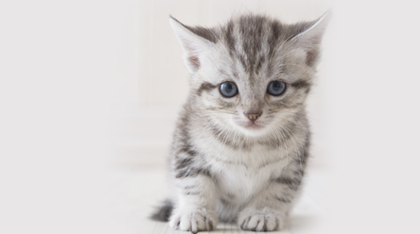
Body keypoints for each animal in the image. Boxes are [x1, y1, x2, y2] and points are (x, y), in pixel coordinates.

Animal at [151, 11, 332, 231]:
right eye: (228, 88)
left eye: (277, 87)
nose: (252, 113)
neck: (249, 144)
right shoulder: (186, 142)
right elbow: (193, 181)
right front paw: (195, 211)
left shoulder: (294, 161)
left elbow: (280, 188)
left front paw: (263, 212)